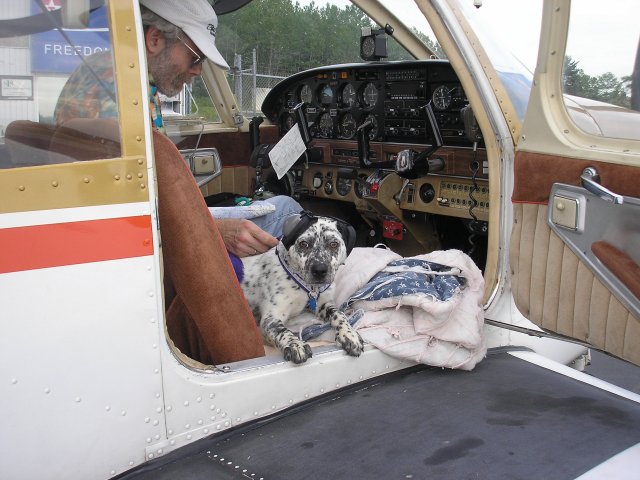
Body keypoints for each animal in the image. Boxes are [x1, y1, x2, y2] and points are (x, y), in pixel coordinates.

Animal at [240, 212, 362, 362]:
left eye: (333, 244)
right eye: (304, 243)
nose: (319, 270)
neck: (308, 289)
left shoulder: (323, 304)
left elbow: (340, 314)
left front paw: (349, 334)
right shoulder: (271, 318)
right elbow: (282, 330)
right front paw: (295, 344)